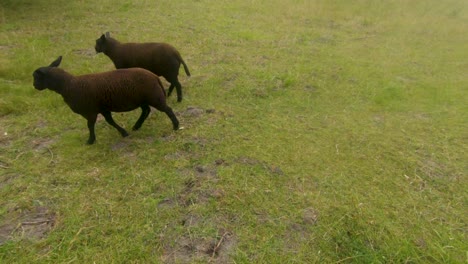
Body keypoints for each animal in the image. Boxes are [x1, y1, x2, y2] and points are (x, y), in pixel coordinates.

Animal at [32, 56, 179, 145]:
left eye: (37, 77)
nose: (35, 86)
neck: (68, 85)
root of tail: (155, 77)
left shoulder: (90, 111)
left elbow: (90, 125)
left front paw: (90, 140)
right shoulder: (103, 108)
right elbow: (110, 121)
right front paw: (123, 133)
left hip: (154, 97)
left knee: (167, 109)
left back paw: (176, 126)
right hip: (142, 99)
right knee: (146, 110)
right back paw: (136, 126)